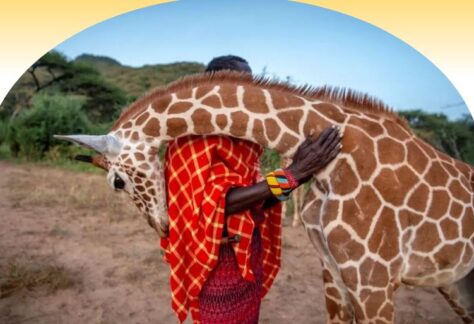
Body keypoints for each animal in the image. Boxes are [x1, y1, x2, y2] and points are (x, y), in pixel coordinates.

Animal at [56, 72, 474, 322]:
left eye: (117, 182)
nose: (162, 226)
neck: (338, 157)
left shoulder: (375, 278)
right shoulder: (334, 271)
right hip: (457, 283)